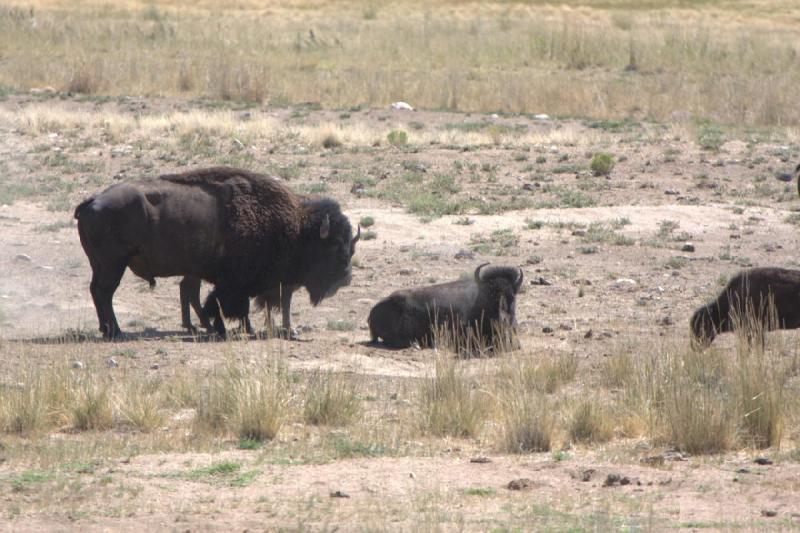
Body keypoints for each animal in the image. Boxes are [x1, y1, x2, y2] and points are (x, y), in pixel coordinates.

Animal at [73, 166, 360, 338]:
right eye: (334, 245)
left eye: (351, 245)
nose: (346, 278)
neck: (293, 228)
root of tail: (92, 201)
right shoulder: (235, 284)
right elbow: (228, 304)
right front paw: (236, 329)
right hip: (113, 265)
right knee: (104, 293)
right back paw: (115, 331)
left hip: (104, 265)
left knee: (99, 292)